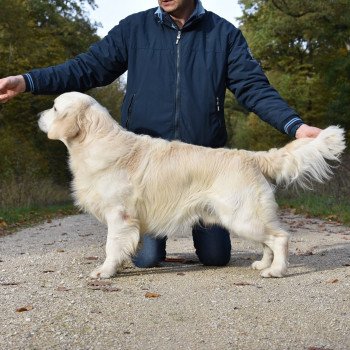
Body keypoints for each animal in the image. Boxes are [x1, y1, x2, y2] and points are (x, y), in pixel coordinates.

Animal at [37, 91, 344, 278]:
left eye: (54, 107)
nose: (38, 116)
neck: (95, 142)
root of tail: (251, 157)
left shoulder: (119, 215)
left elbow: (111, 246)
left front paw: (105, 271)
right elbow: (120, 247)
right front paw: (118, 267)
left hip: (242, 216)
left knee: (280, 238)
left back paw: (276, 270)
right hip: (248, 217)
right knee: (269, 240)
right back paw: (262, 264)